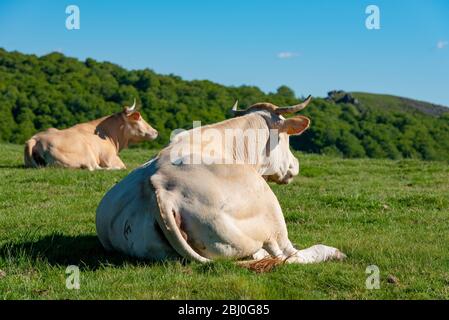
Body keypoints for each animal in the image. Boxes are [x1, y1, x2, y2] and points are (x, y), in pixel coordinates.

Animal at [25, 100, 158, 170]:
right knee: (94, 168)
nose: (156, 131)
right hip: (86, 154)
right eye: (138, 117)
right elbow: (123, 166)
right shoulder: (110, 158)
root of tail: (35, 139)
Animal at [96, 97, 344, 268]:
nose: (296, 164)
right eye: (287, 138)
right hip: (271, 217)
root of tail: (159, 187)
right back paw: (332, 251)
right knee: (290, 255)